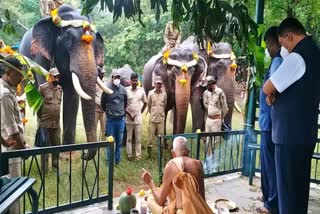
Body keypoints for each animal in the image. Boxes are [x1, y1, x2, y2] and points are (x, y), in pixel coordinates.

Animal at [19, 4, 112, 160]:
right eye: (68, 39)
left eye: (95, 44)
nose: (84, 155)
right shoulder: (40, 57)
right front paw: (51, 150)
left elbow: (72, 96)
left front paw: (67, 154)